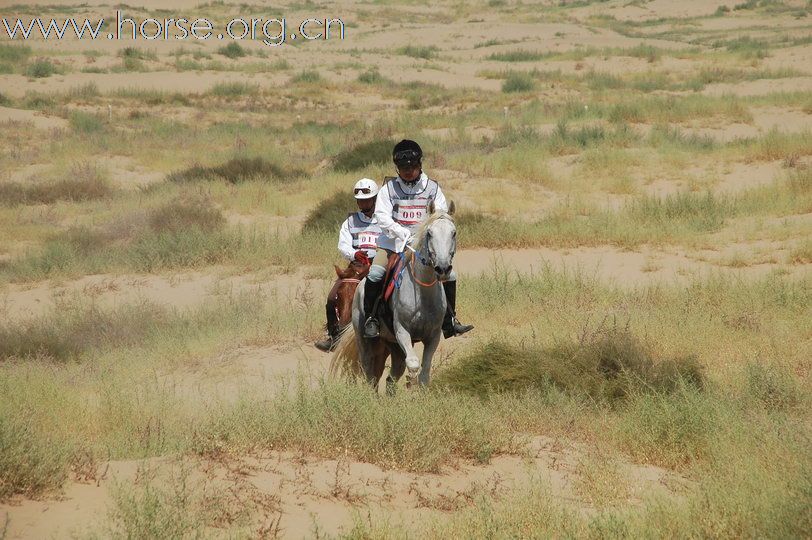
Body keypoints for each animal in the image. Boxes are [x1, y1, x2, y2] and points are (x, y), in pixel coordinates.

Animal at [330, 200, 456, 390]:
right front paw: (410, 383)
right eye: (429, 233)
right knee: (370, 372)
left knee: (390, 377)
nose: (442, 269)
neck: (422, 294)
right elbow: (413, 364)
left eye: (453, 233)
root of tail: (360, 285)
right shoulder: (402, 331)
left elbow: (424, 373)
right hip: (366, 341)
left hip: (393, 346)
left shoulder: (433, 337)